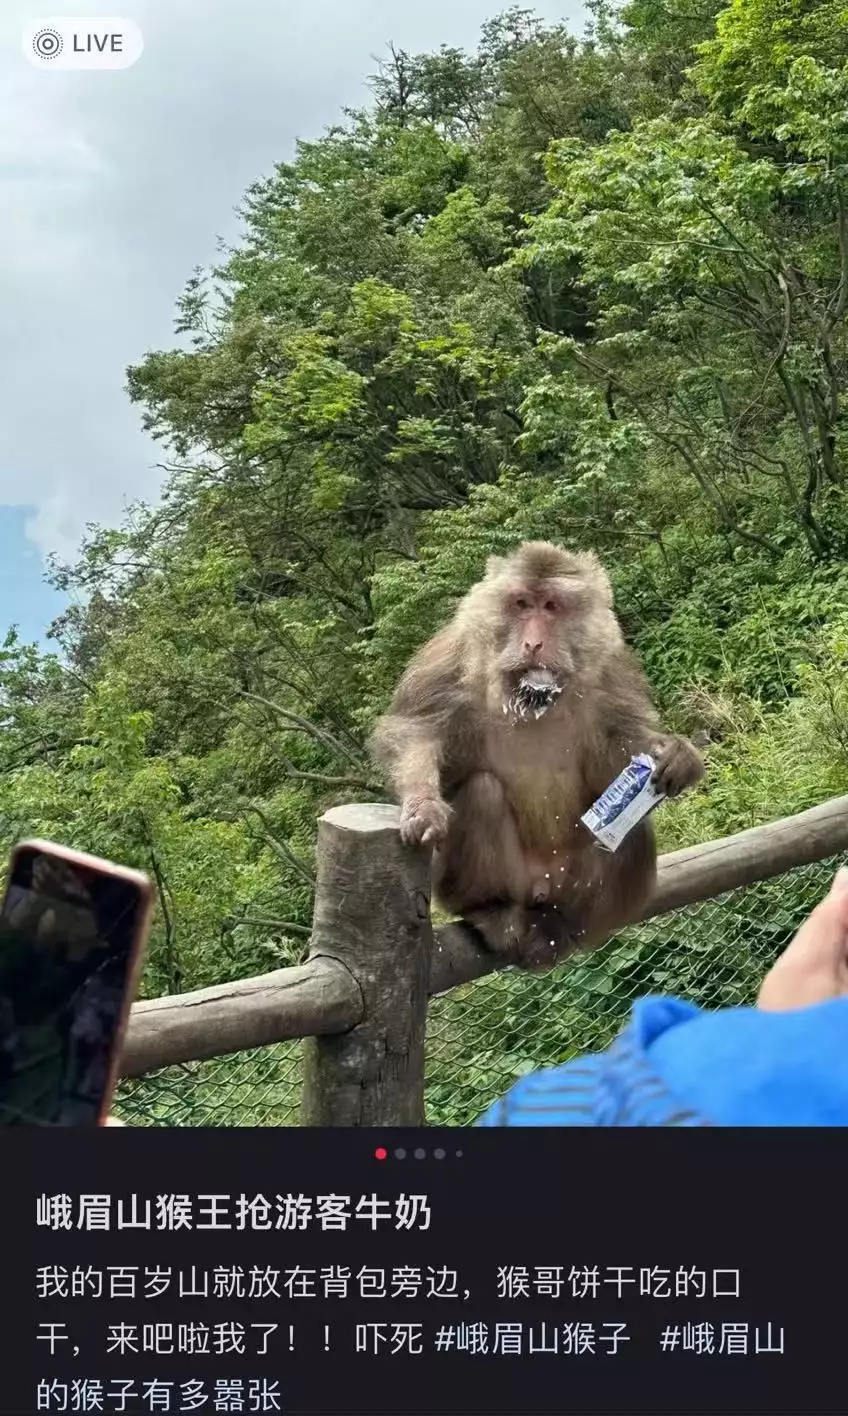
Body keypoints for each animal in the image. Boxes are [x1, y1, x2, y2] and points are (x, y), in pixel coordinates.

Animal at [368, 540, 707, 974]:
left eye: (551, 606)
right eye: (520, 604)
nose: (533, 644)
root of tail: (542, 889)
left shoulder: (611, 666)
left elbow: (616, 748)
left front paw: (675, 756)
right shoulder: (453, 655)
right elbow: (417, 732)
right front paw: (423, 806)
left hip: (577, 884)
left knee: (632, 829)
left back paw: (565, 923)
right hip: (478, 885)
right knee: (482, 792)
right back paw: (492, 911)